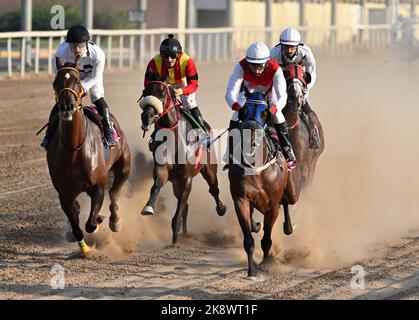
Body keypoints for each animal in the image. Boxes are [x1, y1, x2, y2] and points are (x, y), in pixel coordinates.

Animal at [47, 57, 131, 258]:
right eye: (55, 82)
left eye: (77, 80)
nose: (67, 107)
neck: (74, 150)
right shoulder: (64, 194)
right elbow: (78, 227)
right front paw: (85, 250)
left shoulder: (97, 186)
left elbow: (91, 223)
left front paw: (100, 219)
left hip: (124, 167)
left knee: (114, 193)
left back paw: (115, 221)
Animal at [139, 77, 226, 245]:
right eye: (145, 91)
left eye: (162, 93)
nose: (146, 117)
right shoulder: (163, 170)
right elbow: (156, 185)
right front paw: (148, 207)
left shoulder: (187, 179)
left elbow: (179, 210)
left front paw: (174, 239)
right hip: (175, 182)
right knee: (185, 203)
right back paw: (184, 232)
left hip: (209, 169)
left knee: (213, 189)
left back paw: (221, 208)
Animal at [228, 96, 290, 276]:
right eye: (244, 111)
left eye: (265, 113)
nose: (250, 138)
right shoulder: (241, 199)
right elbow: (248, 239)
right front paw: (252, 271)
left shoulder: (273, 206)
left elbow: (267, 239)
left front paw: (267, 263)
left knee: (287, 202)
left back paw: (288, 227)